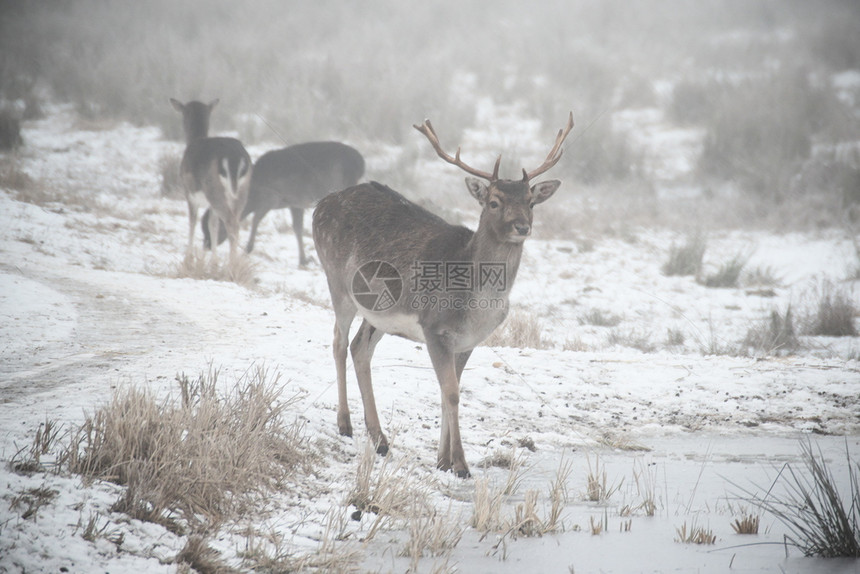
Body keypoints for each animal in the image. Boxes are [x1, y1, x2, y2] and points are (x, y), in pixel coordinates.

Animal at [170, 99, 252, 260]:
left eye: (184, 112)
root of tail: (235, 158)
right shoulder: (210, 205)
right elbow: (212, 225)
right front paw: (213, 260)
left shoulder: (188, 192)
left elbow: (192, 221)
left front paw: (188, 257)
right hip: (242, 192)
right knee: (236, 221)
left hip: (214, 189)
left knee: (230, 222)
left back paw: (231, 263)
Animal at [201, 141, 362, 266]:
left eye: (212, 228)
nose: (207, 245)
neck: (253, 193)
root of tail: (360, 162)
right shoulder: (295, 203)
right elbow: (297, 228)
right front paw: (303, 260)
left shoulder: (270, 197)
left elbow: (256, 219)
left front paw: (248, 248)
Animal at [312, 113, 576, 482]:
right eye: (494, 201)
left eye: (530, 201)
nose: (522, 226)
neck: (476, 304)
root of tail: (321, 203)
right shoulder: (434, 328)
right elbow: (451, 393)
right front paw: (461, 465)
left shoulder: (467, 341)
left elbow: (446, 391)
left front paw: (443, 460)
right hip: (337, 281)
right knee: (338, 340)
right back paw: (345, 424)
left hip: (378, 312)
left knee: (359, 347)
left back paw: (379, 438)